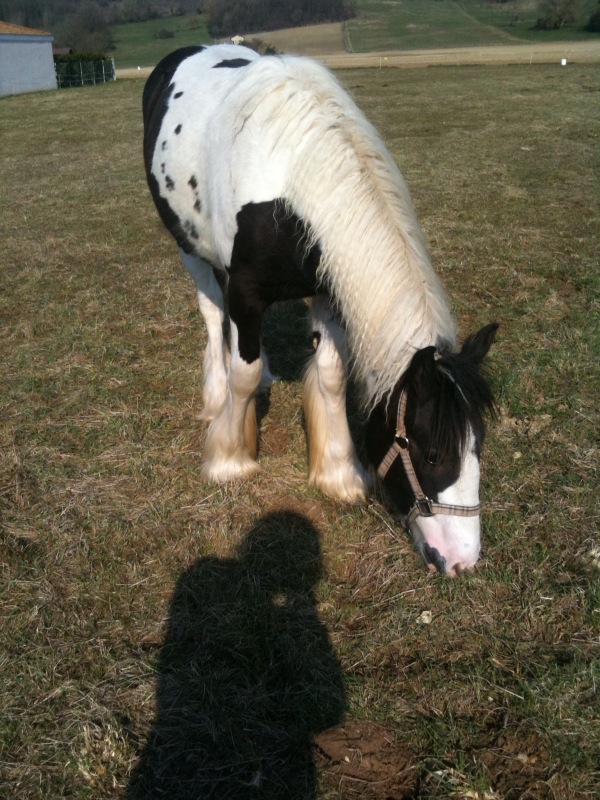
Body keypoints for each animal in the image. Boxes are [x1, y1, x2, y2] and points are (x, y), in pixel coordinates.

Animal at [142, 43, 496, 576]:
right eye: (432, 454)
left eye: (477, 445)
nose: (463, 560)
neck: (290, 183)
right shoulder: (245, 291)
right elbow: (241, 370)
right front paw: (229, 458)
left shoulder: (330, 285)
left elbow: (330, 376)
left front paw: (337, 473)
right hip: (190, 249)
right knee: (212, 316)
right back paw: (215, 395)